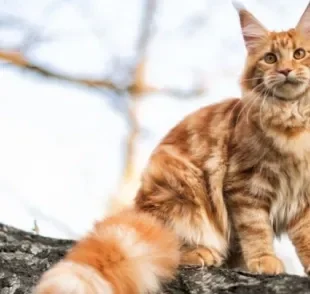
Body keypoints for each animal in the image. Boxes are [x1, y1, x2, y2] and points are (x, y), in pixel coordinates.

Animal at [32, 2, 310, 294]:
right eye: (270, 58)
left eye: (299, 54)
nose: (285, 70)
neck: (293, 121)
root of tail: (140, 209)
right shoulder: (245, 185)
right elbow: (256, 229)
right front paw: (264, 259)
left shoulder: (304, 196)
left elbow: (306, 235)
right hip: (183, 189)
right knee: (174, 247)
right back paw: (201, 252)